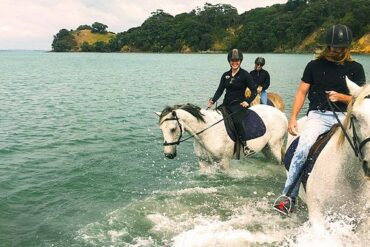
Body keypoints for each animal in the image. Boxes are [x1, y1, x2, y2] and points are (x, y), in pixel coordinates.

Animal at [156, 103, 290, 170]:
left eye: (173, 129)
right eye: (161, 129)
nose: (168, 154)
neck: (207, 131)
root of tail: (282, 114)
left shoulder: (224, 161)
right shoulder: (203, 162)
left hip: (275, 146)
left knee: (280, 162)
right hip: (266, 149)